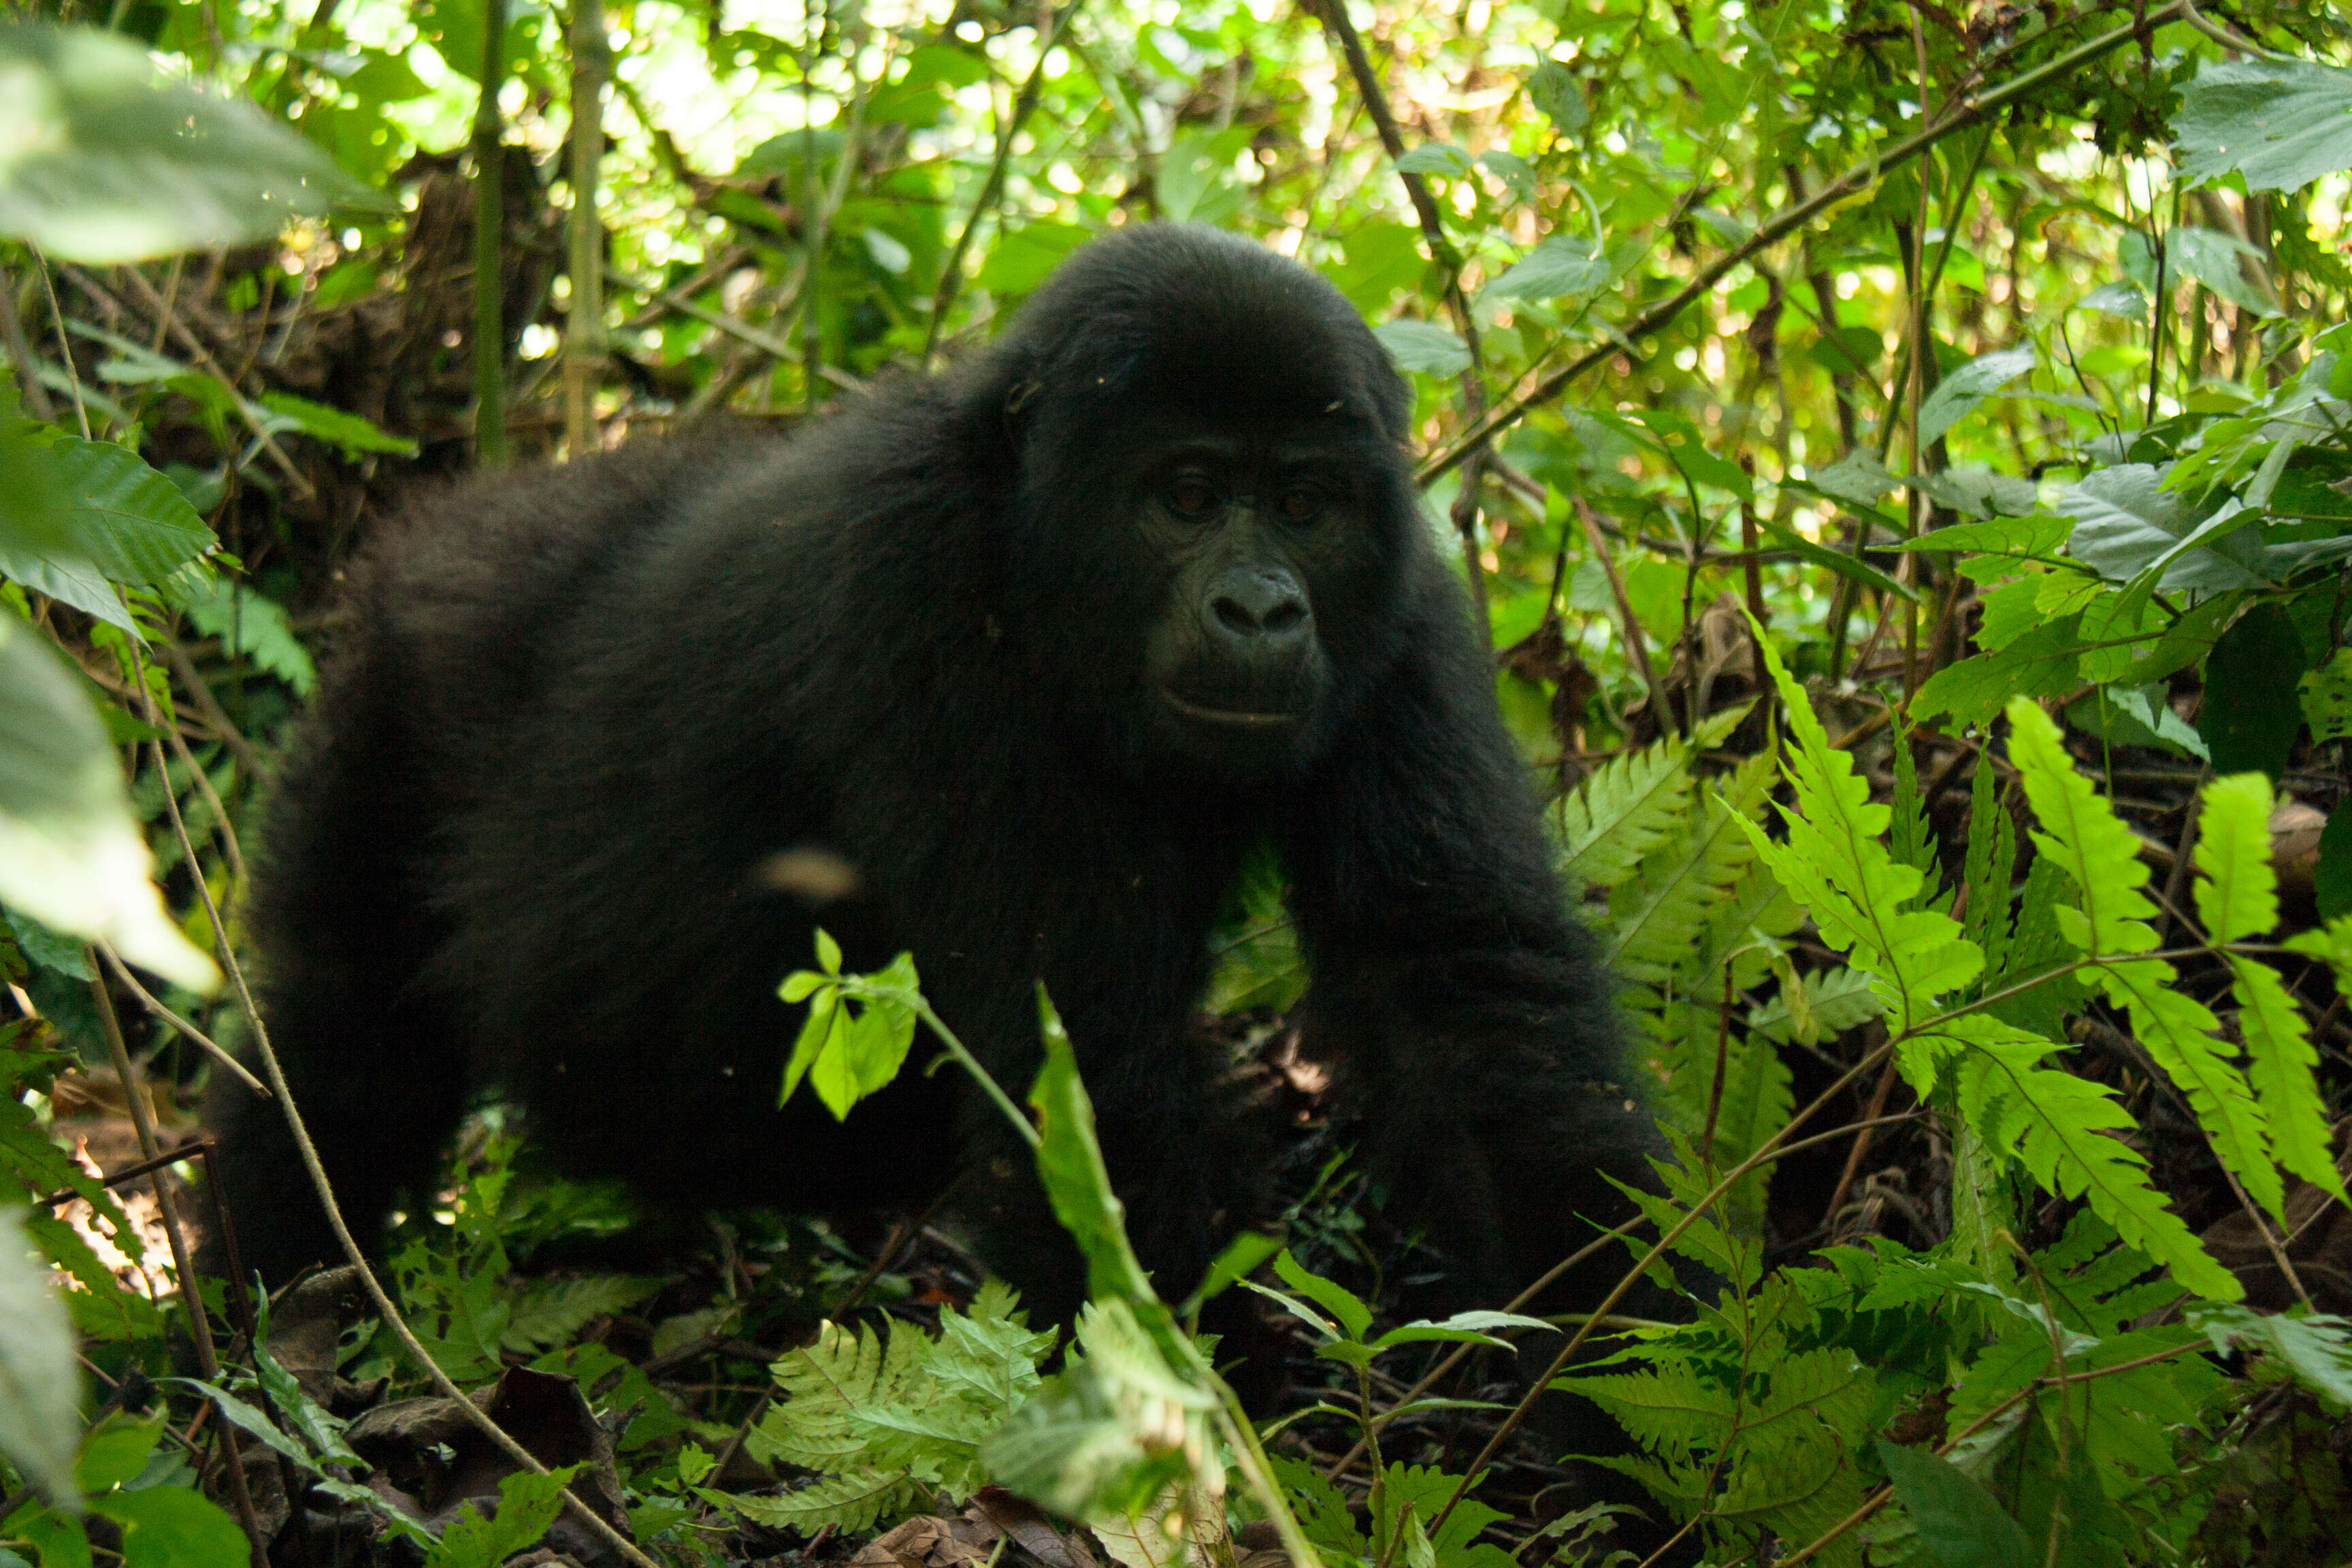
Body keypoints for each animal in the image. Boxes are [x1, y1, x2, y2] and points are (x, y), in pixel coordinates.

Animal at [212, 223, 1665, 1335]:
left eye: (1306, 503)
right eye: (1189, 493)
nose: (1261, 609)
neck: (1026, 534)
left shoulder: (1400, 608)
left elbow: (1471, 996)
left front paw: (1625, 1374)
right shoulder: (909, 581)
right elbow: (1083, 1066)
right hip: (391, 690)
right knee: (344, 1033)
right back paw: (274, 1297)